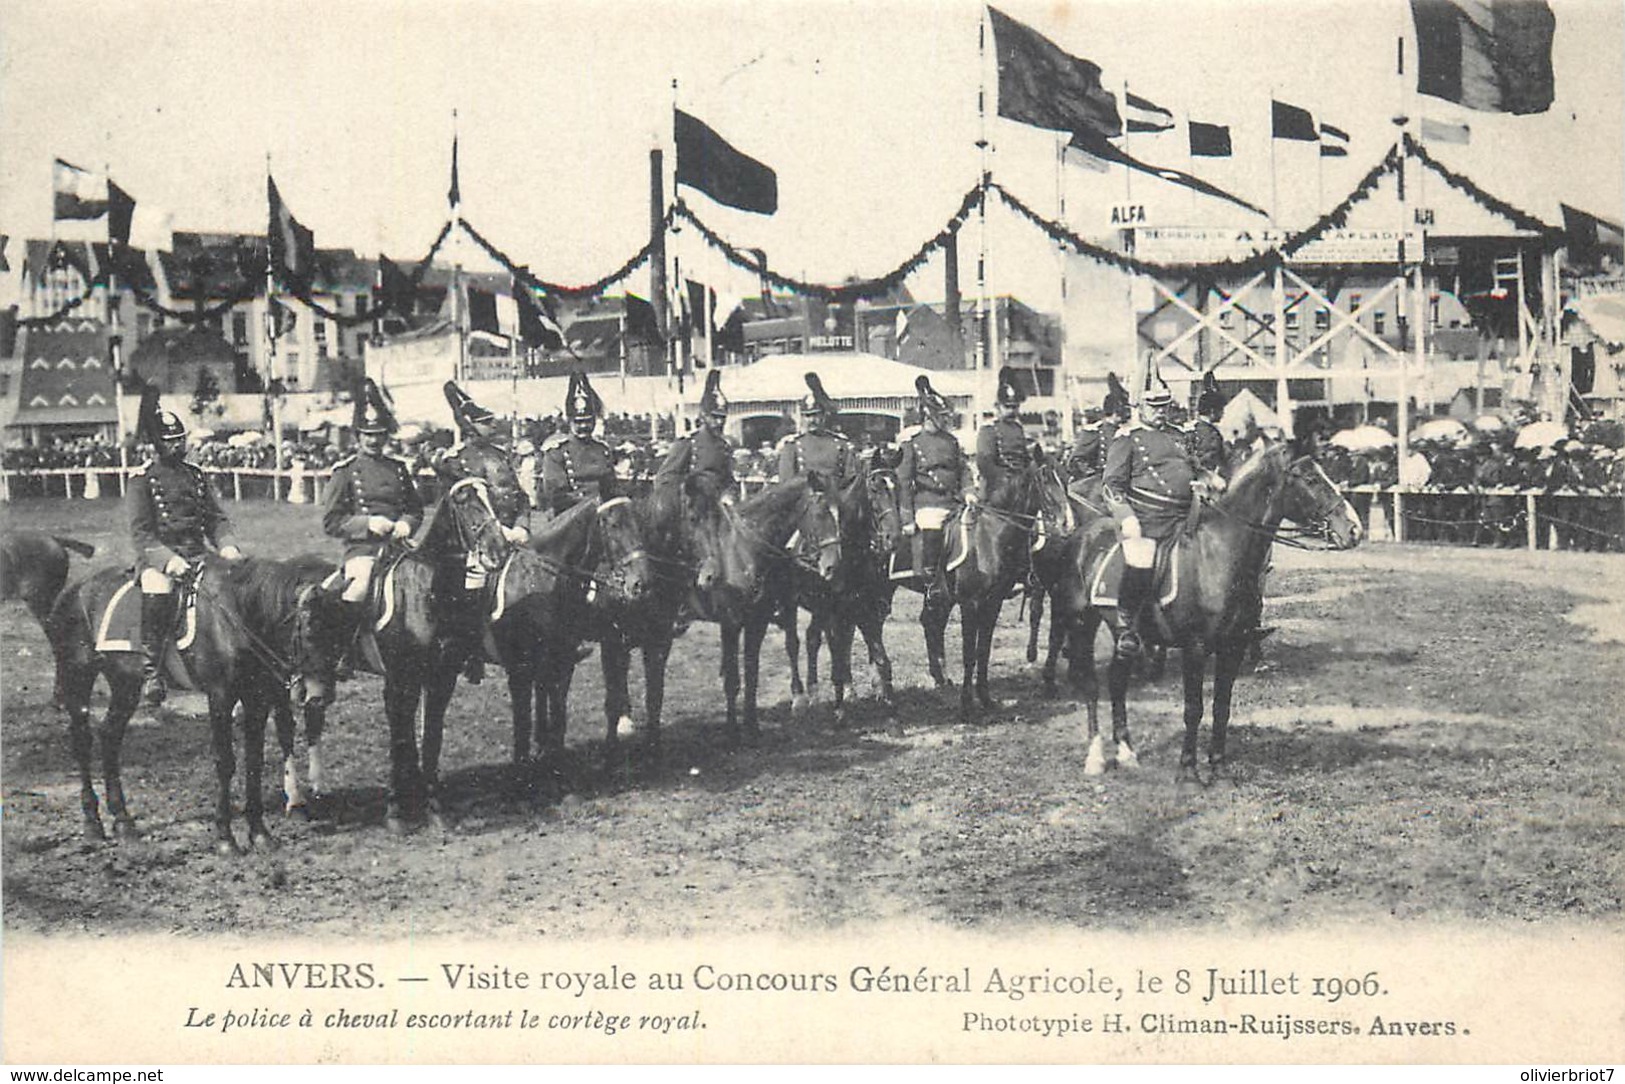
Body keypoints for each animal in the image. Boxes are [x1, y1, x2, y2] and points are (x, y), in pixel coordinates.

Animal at [48, 559, 349, 858]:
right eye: (309, 629)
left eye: (342, 628)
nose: (319, 696)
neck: (239, 615)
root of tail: (75, 588)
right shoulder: (220, 697)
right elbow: (225, 762)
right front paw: (226, 838)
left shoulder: (256, 699)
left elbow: (254, 761)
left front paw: (260, 834)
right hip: (79, 674)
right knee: (82, 741)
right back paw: (92, 823)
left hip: (125, 682)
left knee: (110, 736)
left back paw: (123, 822)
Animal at [916, 461, 1040, 721]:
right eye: (1044, 482)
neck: (989, 538)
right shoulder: (970, 603)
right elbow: (969, 654)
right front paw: (966, 706)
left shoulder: (993, 602)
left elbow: (983, 651)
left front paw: (985, 699)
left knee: (931, 623)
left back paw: (941, 678)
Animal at [1059, 435, 1365, 783]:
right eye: (1311, 478)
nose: (1354, 529)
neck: (1219, 553)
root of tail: (1081, 535)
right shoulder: (1195, 647)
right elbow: (1194, 709)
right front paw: (1188, 770)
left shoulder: (1233, 646)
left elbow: (1221, 707)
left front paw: (1218, 766)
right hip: (1081, 623)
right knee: (1090, 683)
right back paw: (1096, 757)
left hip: (1124, 633)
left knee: (1117, 680)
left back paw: (1126, 753)